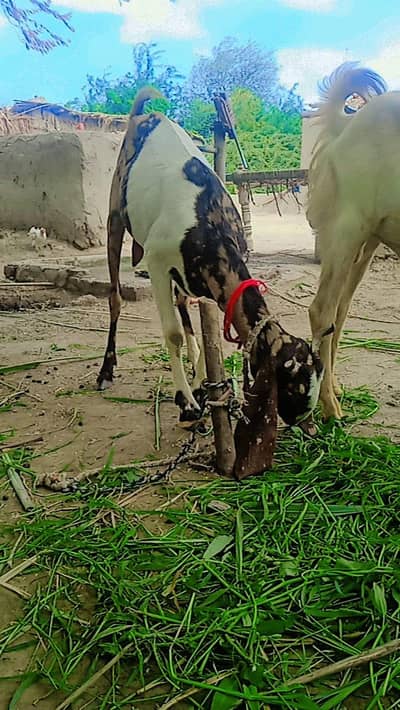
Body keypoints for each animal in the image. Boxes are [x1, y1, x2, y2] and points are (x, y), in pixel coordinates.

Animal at [97, 87, 325, 459]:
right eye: (294, 387)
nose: (308, 427)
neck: (210, 228)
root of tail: (148, 114)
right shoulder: (158, 263)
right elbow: (173, 334)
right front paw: (188, 403)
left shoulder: (205, 282)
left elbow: (208, 335)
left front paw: (200, 388)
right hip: (116, 214)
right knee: (115, 296)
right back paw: (107, 369)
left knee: (182, 303)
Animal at [307, 62, 399, 420]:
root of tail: (347, 124)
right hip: (348, 228)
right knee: (322, 310)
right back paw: (331, 409)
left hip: (367, 242)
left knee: (339, 312)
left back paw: (335, 392)